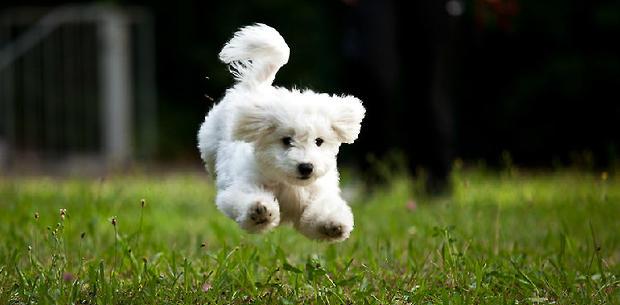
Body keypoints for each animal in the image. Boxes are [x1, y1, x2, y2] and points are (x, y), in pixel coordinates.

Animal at [197, 23, 364, 241]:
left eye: (319, 141)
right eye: (287, 140)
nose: (306, 167)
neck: (288, 184)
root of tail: (255, 87)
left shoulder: (316, 195)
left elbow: (317, 215)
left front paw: (333, 224)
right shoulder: (242, 187)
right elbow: (245, 199)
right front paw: (259, 211)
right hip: (209, 141)